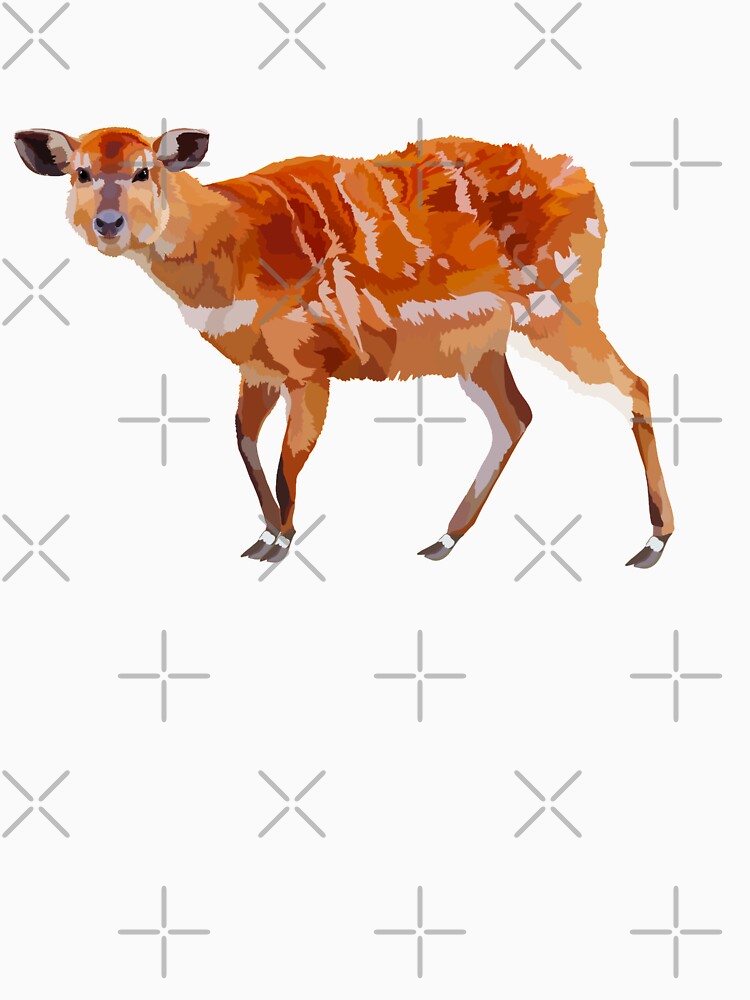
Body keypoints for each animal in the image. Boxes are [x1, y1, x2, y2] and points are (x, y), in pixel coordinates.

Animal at [14, 126, 673, 568]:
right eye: (81, 172)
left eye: (145, 170)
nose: (108, 224)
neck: (231, 244)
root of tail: (588, 186)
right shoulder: (259, 368)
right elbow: (245, 442)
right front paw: (262, 537)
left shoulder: (311, 368)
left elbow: (289, 456)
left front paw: (280, 545)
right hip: (482, 349)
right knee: (517, 416)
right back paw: (441, 540)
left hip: (557, 311)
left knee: (633, 385)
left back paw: (654, 542)